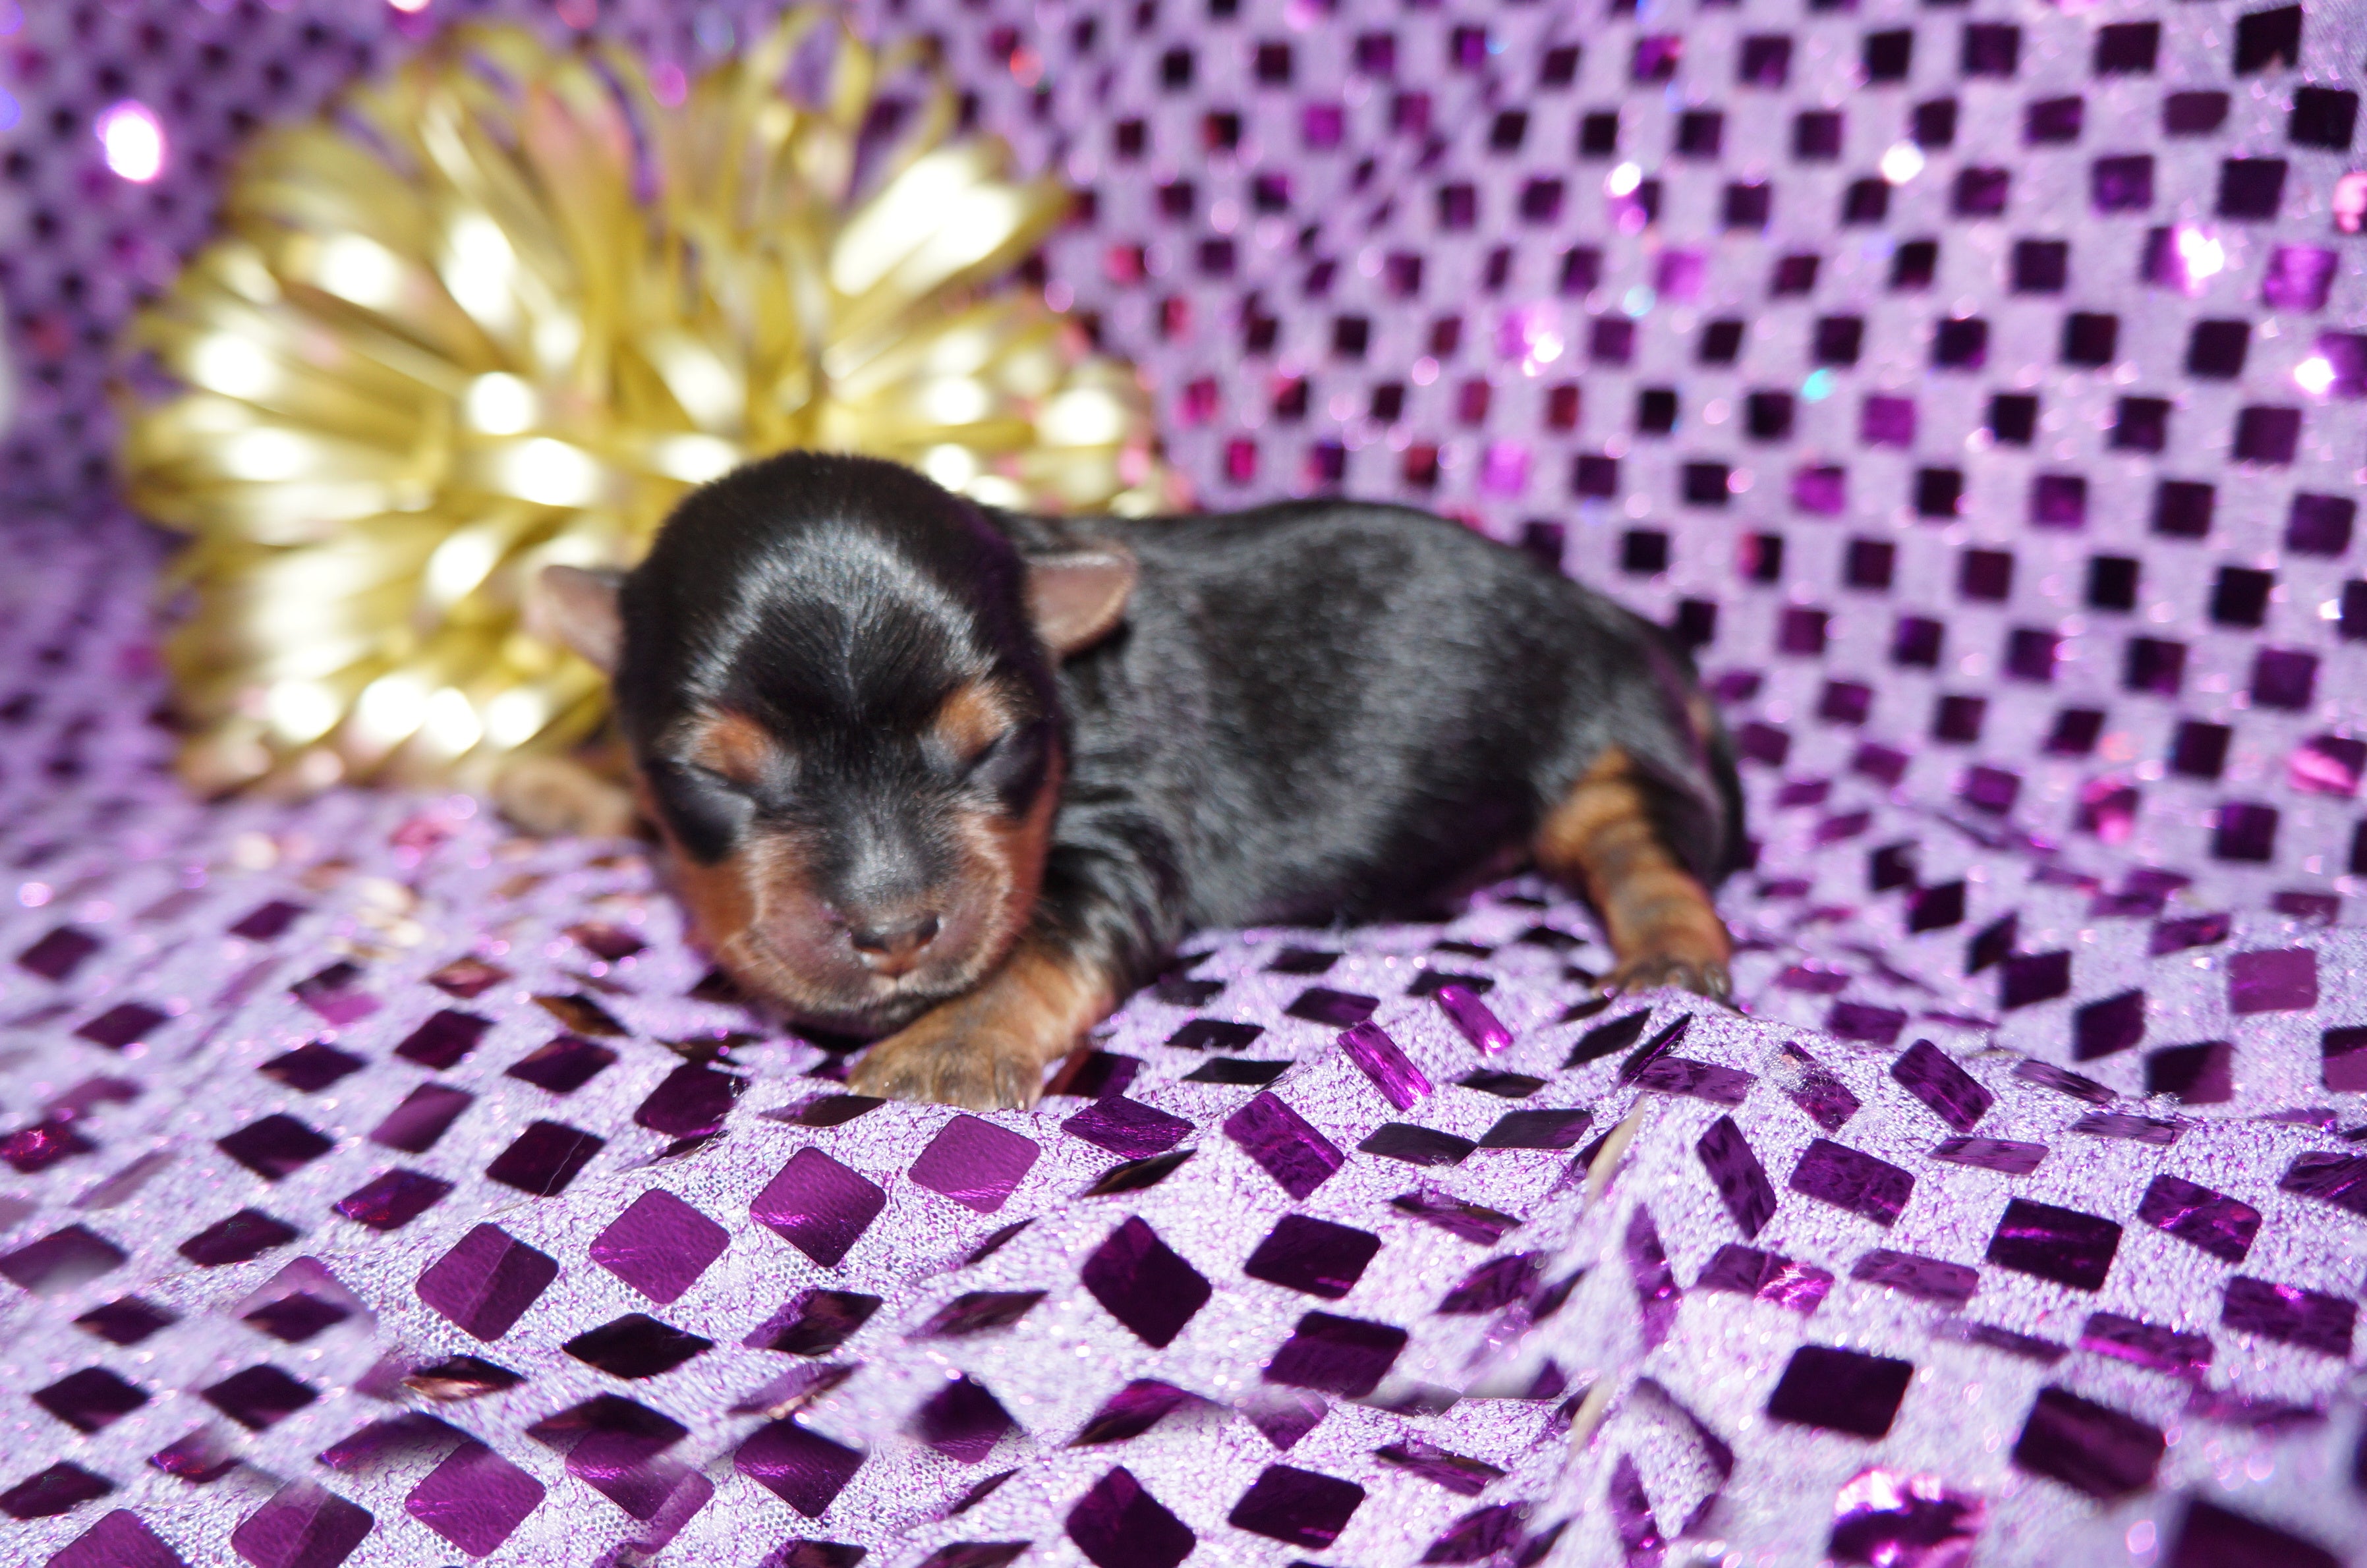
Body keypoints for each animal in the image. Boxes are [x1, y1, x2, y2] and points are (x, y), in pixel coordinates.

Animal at [531, 452, 1742, 1109]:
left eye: (992, 748)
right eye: (710, 775)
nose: (894, 933)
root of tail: (1622, 623)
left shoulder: (1117, 833)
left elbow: (1042, 939)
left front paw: (946, 1047)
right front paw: (564, 780)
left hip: (1601, 739)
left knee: (1636, 841)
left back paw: (1669, 950)